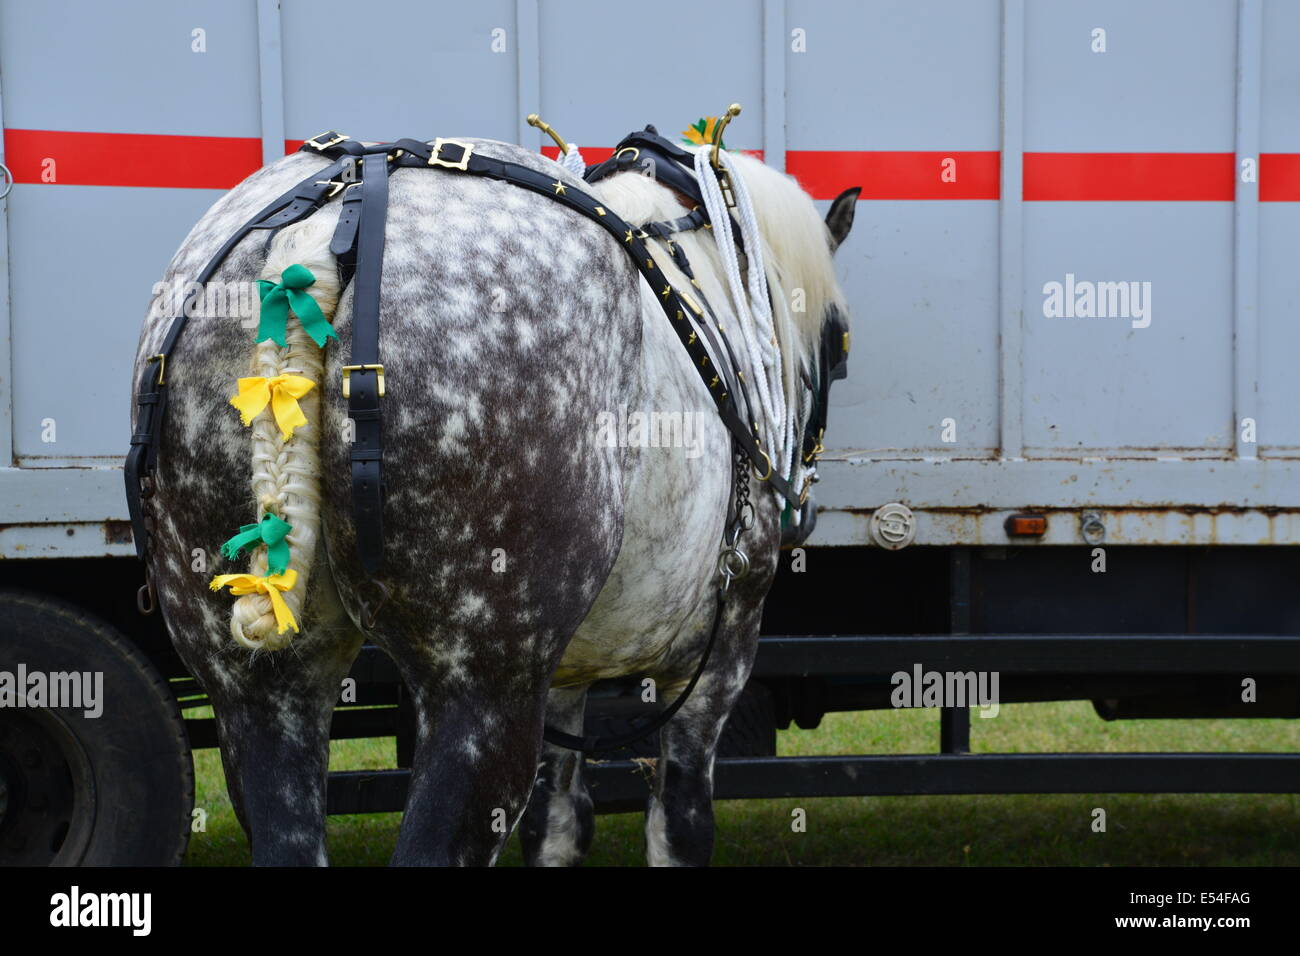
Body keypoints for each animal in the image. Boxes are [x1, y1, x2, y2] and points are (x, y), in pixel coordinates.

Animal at [137, 128, 857, 868]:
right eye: (838, 348)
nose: (804, 510)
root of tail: (324, 226)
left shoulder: (566, 676)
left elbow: (558, 826)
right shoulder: (719, 656)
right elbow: (679, 826)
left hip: (259, 689)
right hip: (483, 690)